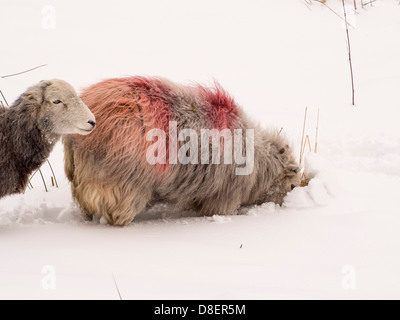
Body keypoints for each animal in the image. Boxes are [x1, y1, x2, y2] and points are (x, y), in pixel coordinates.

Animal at [63, 76, 300, 226]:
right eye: (292, 185)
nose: (286, 203)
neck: (260, 161)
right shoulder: (225, 196)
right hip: (124, 182)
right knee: (117, 213)